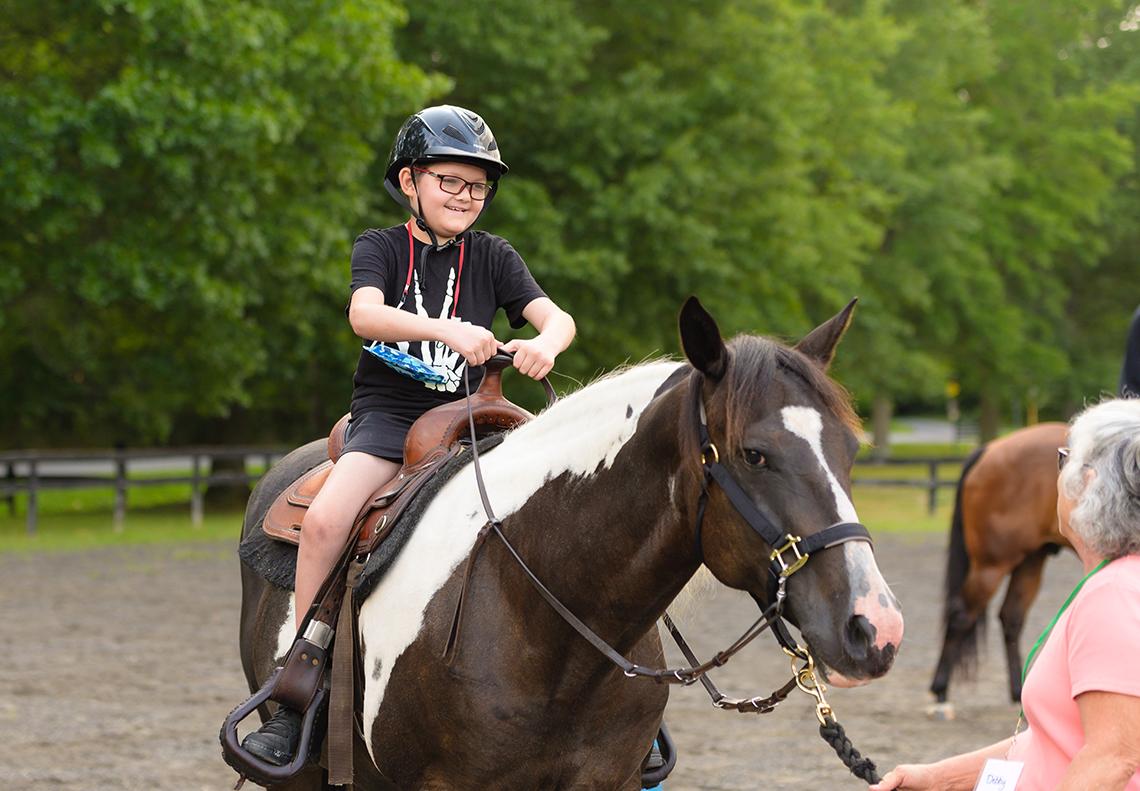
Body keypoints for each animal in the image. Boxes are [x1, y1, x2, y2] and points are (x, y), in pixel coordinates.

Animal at [929, 421, 1073, 709]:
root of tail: (989, 449)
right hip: (991, 566)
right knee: (962, 615)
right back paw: (940, 690)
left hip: (1030, 560)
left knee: (1011, 617)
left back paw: (1019, 692)